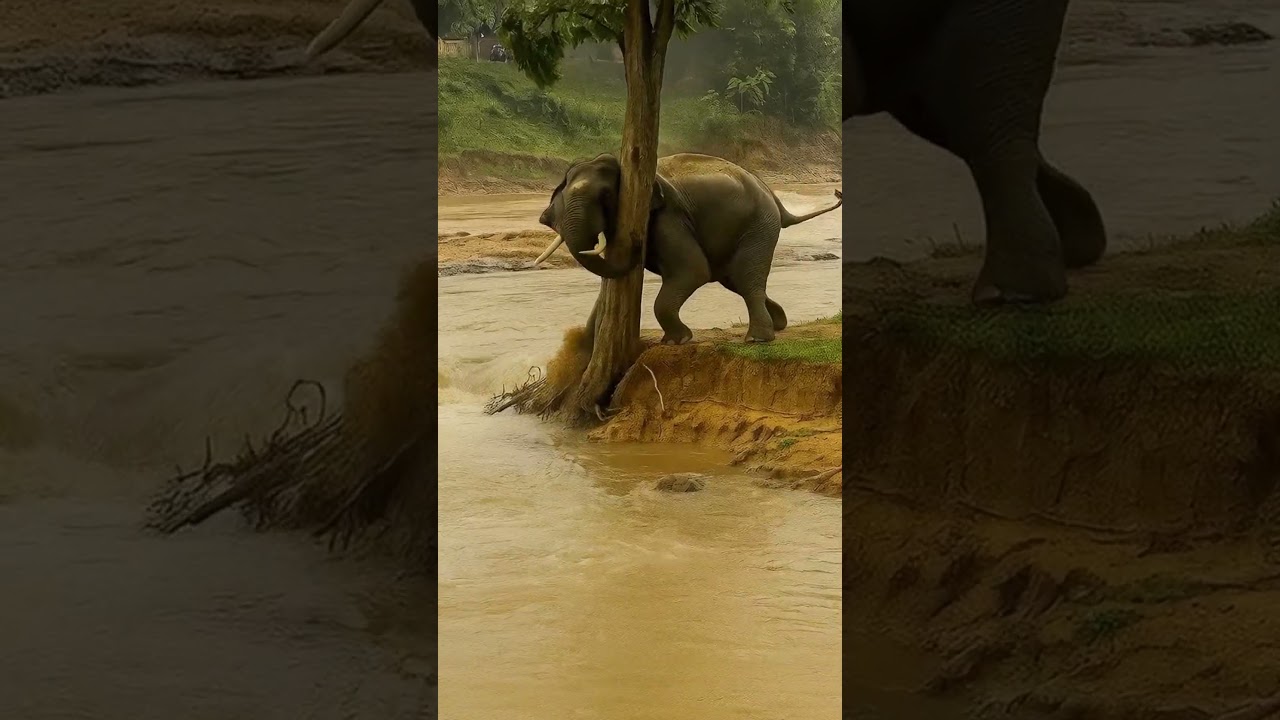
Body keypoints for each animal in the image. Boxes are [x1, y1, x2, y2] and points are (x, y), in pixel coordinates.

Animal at [533, 153, 842, 344]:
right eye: (562, 195)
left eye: (607, 195)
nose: (638, 244)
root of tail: (775, 198)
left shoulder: (668, 219)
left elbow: (693, 271)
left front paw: (676, 341)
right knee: (735, 280)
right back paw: (778, 324)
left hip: (760, 225)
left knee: (745, 277)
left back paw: (757, 339)